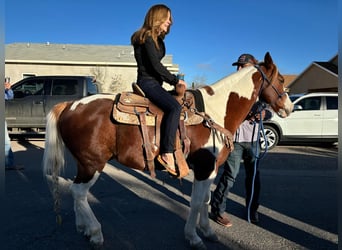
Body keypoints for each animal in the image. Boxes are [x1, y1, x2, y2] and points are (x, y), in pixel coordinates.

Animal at [43, 51, 294, 249]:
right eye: (281, 79)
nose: (289, 107)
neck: (215, 111)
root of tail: (70, 105)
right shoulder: (204, 168)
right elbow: (196, 202)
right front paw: (193, 237)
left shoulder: (210, 171)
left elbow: (205, 200)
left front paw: (208, 232)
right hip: (93, 163)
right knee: (78, 192)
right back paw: (95, 232)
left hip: (84, 163)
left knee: (77, 193)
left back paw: (83, 227)